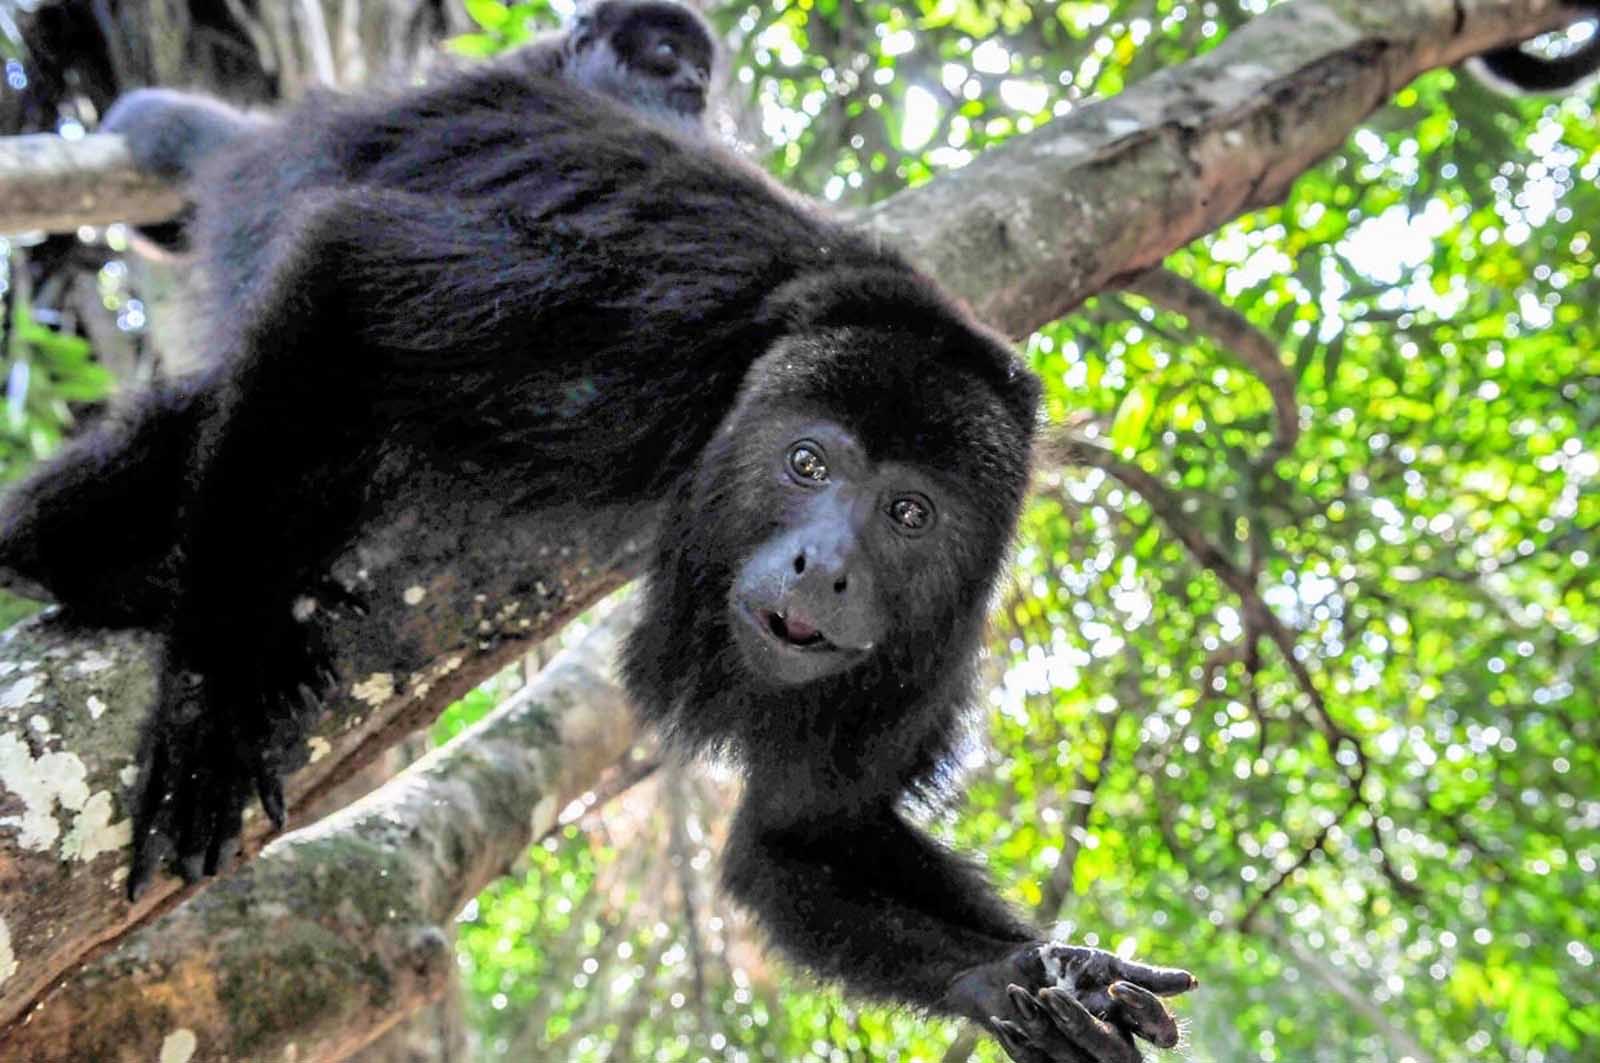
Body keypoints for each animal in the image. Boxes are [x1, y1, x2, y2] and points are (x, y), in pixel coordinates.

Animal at [0, 18, 1196, 1063]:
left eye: (909, 513)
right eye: (809, 464)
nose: (825, 565)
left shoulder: (942, 633)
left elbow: (802, 836)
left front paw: (1026, 976)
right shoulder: (654, 344)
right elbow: (354, 267)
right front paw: (213, 688)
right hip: (274, 207)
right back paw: (88, 561)